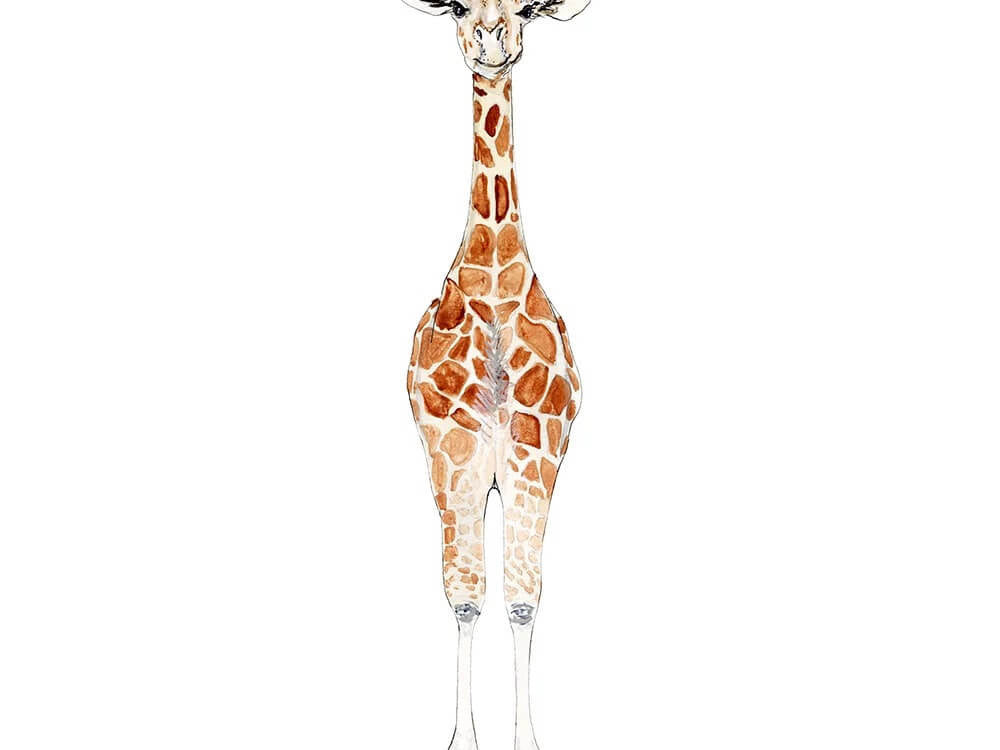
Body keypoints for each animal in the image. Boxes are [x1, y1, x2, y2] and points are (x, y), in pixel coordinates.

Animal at [402, 2, 589, 749]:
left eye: (529, 9)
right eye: (456, 7)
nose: (490, 38)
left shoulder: (536, 454)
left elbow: (521, 599)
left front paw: (526, 740)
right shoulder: (453, 452)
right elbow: (465, 596)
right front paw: (463, 739)